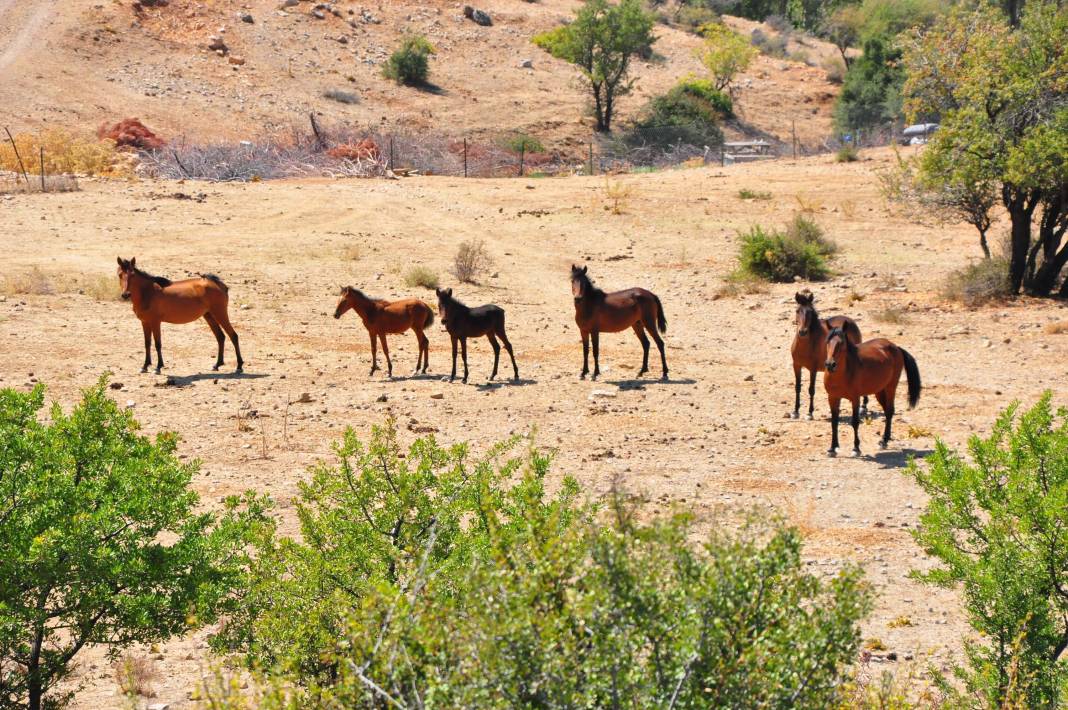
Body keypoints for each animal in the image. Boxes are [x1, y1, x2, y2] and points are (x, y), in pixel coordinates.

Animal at [115, 256, 243, 375]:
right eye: (120, 274)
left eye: (132, 275)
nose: (126, 294)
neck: (148, 293)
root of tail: (219, 285)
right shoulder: (145, 322)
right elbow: (147, 343)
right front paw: (145, 366)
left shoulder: (155, 322)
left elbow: (157, 344)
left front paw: (158, 367)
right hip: (209, 316)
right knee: (220, 337)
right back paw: (217, 365)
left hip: (220, 314)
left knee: (233, 336)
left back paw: (239, 366)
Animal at [794, 290, 867, 418]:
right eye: (797, 311)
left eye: (810, 313)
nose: (802, 332)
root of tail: (850, 321)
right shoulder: (796, 366)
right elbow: (797, 387)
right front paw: (795, 411)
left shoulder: (813, 369)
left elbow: (811, 389)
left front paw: (810, 413)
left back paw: (863, 407)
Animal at [820, 324, 922, 454]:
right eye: (827, 342)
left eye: (841, 343)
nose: (830, 364)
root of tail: (896, 347)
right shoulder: (833, 398)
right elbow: (834, 422)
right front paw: (832, 448)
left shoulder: (855, 399)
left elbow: (855, 422)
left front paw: (856, 448)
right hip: (879, 392)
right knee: (887, 412)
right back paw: (885, 439)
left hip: (890, 388)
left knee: (889, 411)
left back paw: (884, 441)